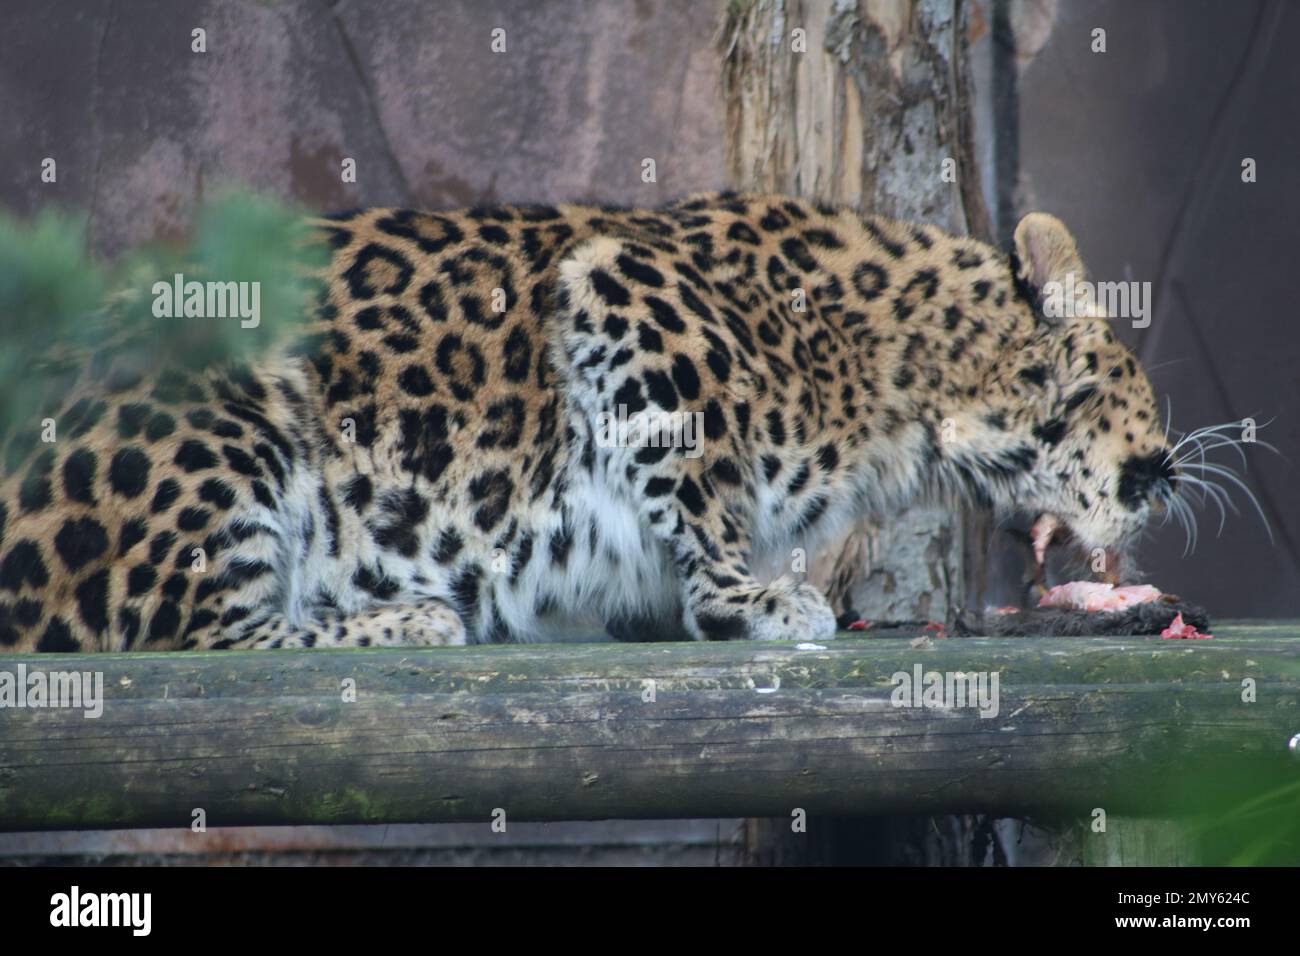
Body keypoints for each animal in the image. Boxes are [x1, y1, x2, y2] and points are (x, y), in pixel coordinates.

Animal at [0, 191, 1183, 652]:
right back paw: (413, 618)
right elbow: (703, 494)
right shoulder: (624, 297)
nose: (1163, 472)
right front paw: (752, 599)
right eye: (1125, 387)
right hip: (232, 419)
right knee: (203, 630)